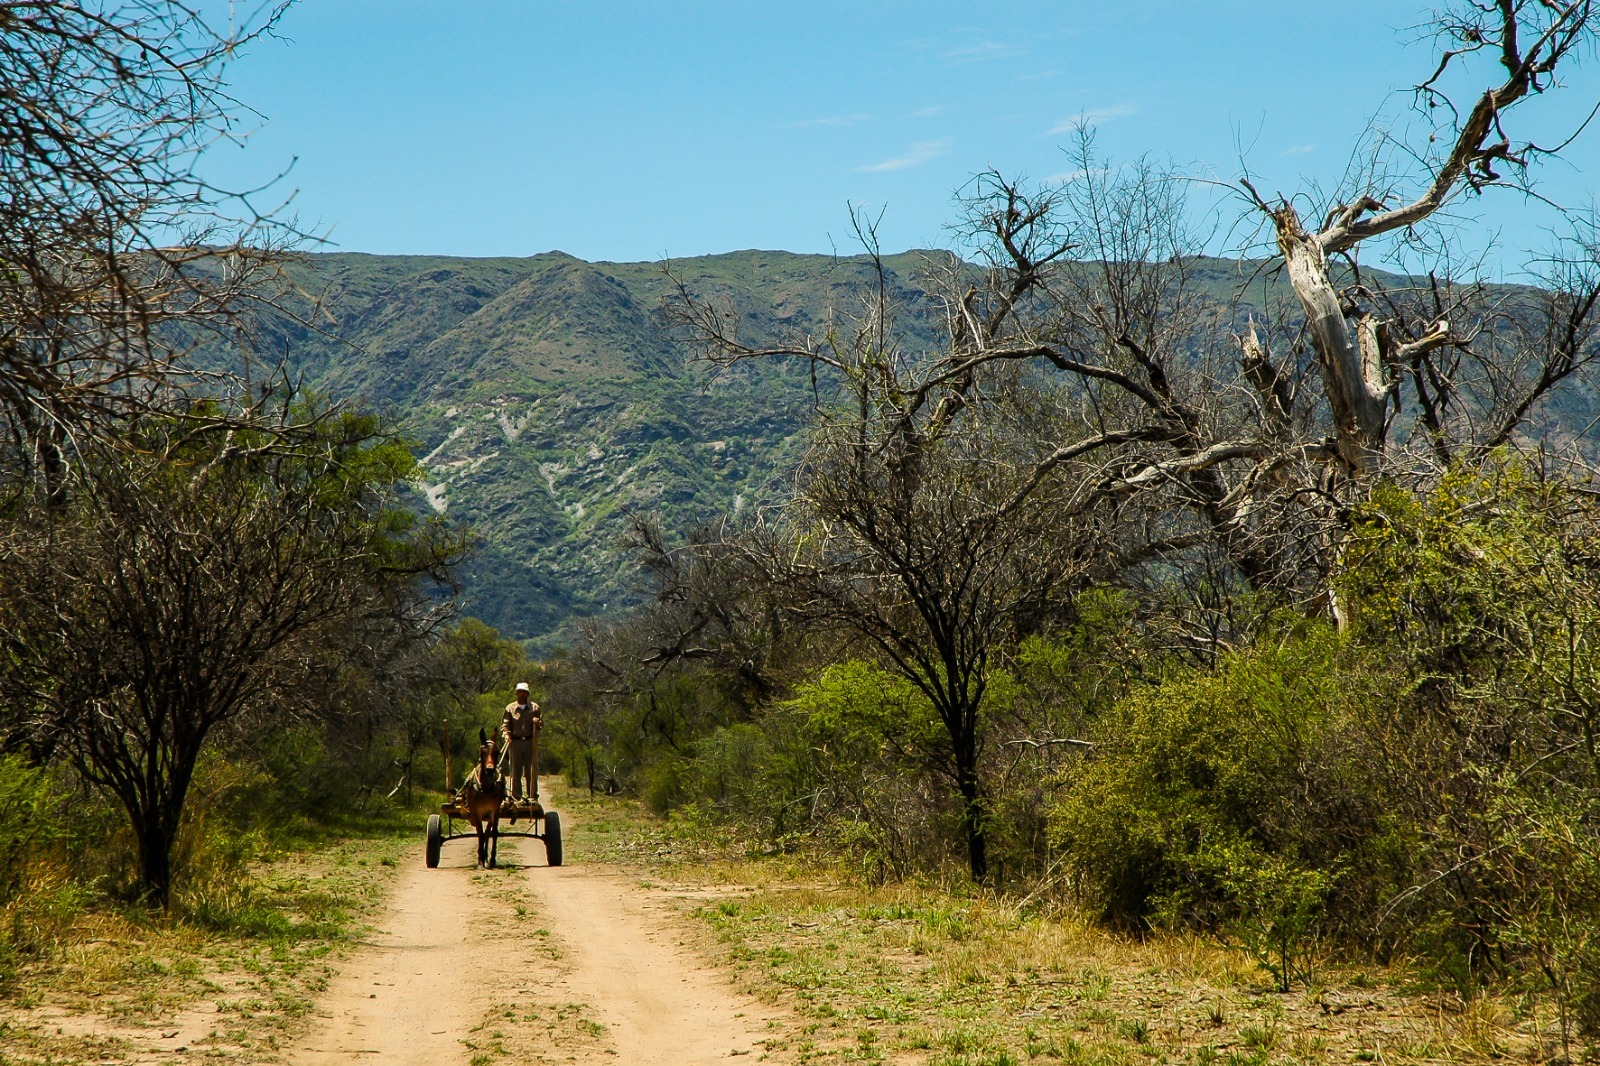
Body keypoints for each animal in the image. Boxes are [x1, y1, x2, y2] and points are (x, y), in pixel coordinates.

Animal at [457, 726, 505, 870]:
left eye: (497, 752)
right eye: (482, 751)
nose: (490, 770)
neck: (485, 789)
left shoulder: (495, 810)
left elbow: (493, 833)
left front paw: (492, 860)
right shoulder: (476, 811)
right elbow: (480, 833)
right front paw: (480, 861)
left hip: (489, 816)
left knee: (488, 833)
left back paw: (486, 857)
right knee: (483, 834)